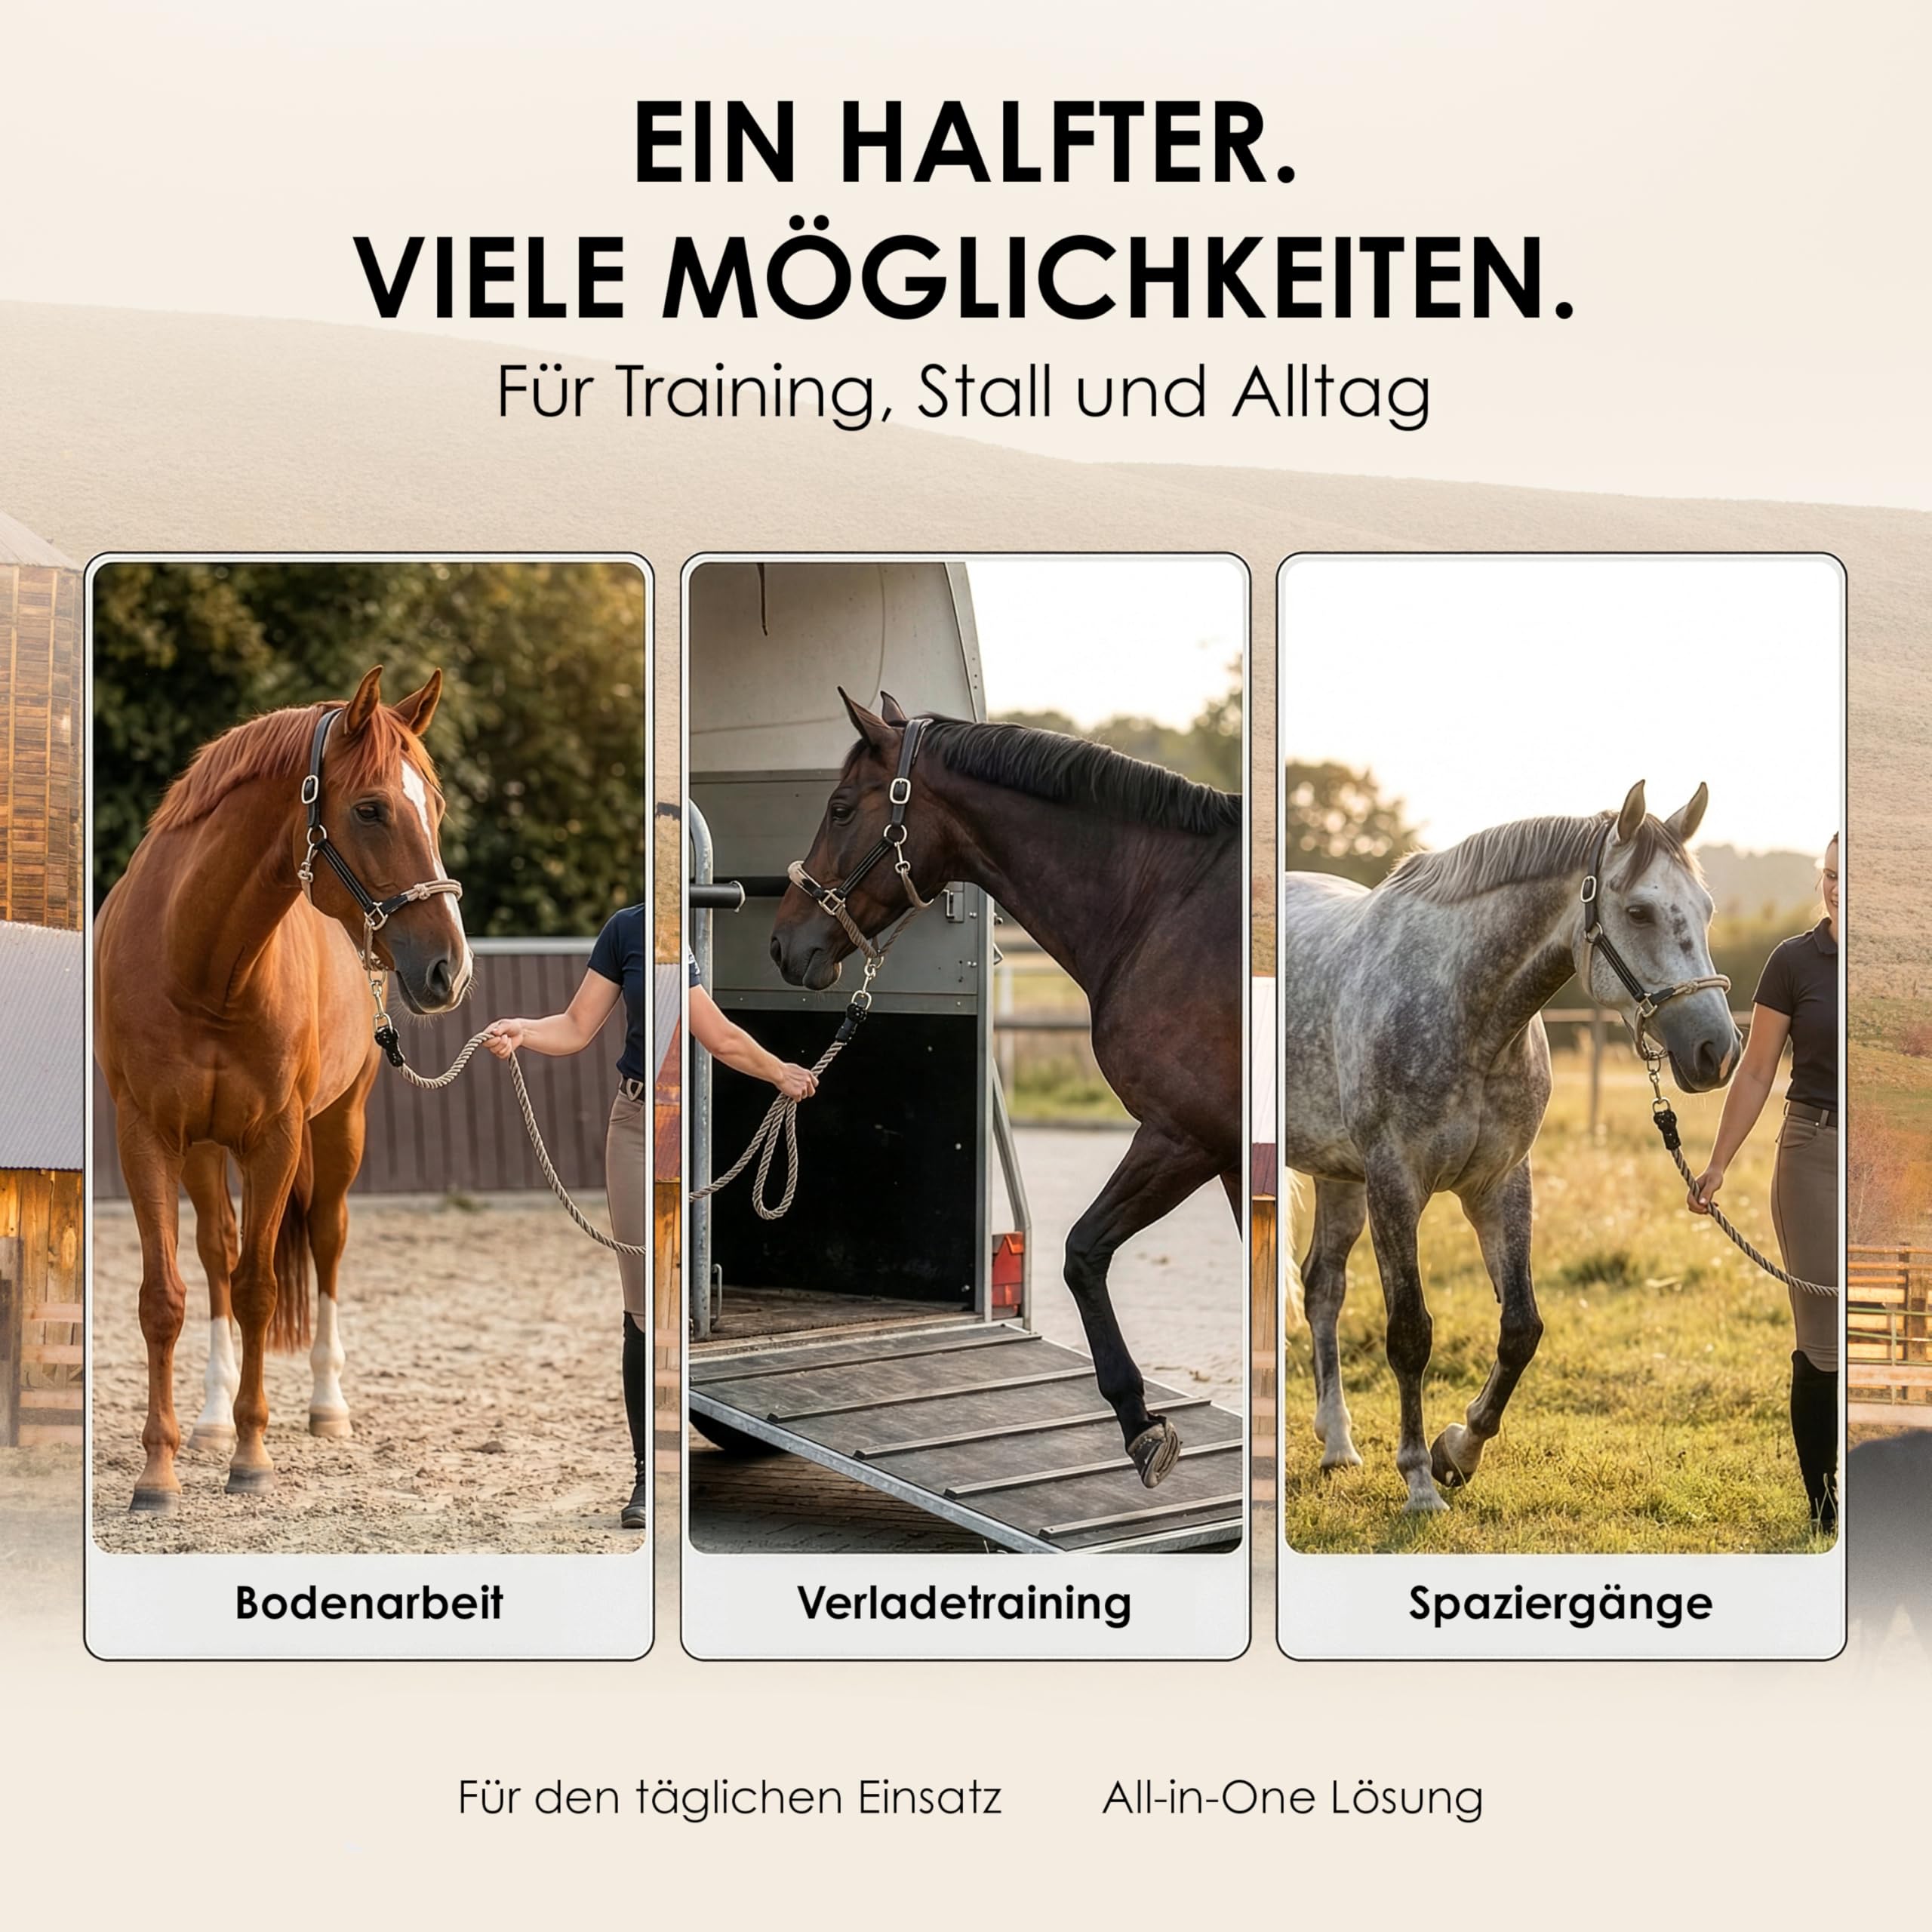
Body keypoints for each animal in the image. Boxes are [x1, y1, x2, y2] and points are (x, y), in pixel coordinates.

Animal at [96, 667, 471, 1512]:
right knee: (215, 1253)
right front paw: (159, 1470)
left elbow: (261, 1290)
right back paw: (207, 1419)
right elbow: (165, 1295)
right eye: (370, 808)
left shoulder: (277, 1137)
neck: (202, 966)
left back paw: (327, 1406)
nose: (450, 969)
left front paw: (251, 1458)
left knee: (326, 1241)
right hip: (204, 1151)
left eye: (435, 807)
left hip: (338, 1130)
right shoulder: (147, 1136)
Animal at [771, 690, 1242, 1487]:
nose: (783, 945)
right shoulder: (1227, 1152)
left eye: (839, 808)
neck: (1163, 904)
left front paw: (1141, 1424)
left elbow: (1082, 1251)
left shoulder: (1186, 1134)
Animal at [1281, 781, 1741, 1514]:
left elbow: (1521, 1329)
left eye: (1706, 909)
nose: (1716, 1051)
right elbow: (1410, 1333)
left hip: (1339, 1176)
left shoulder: (1500, 1184)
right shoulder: (1394, 1183)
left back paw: (1338, 1446)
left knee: (1324, 1286)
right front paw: (1418, 1479)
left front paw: (1458, 1450)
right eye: (1638, 911)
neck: (1467, 1013)